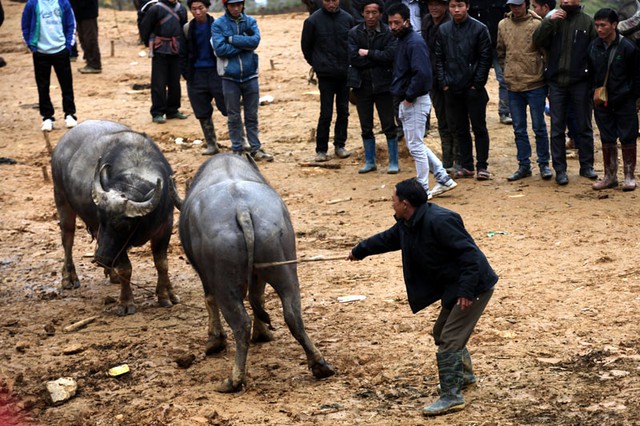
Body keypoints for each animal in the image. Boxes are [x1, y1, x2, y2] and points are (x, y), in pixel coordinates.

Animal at [49, 120, 180, 316]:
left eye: (123, 226)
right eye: (101, 220)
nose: (100, 258)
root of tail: (61, 146)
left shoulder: (165, 227)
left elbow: (162, 263)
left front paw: (166, 294)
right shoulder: (118, 243)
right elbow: (126, 268)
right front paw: (125, 303)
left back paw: (111, 273)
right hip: (61, 199)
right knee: (67, 240)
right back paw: (69, 278)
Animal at [176, 154, 336, 392]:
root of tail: (242, 209)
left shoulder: (205, 275)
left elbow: (210, 300)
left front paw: (214, 342)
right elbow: (258, 298)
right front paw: (262, 334)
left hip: (225, 284)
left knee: (241, 323)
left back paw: (233, 380)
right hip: (285, 268)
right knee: (293, 315)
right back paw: (319, 364)